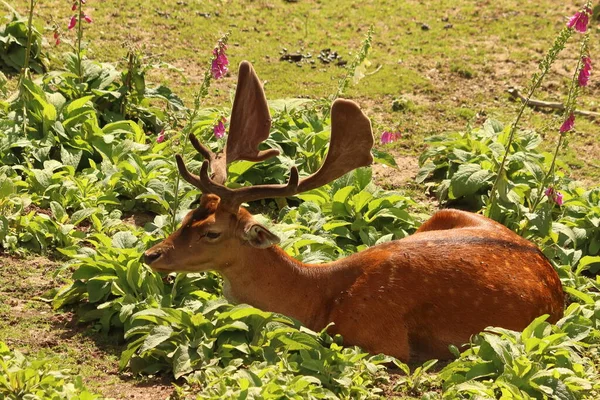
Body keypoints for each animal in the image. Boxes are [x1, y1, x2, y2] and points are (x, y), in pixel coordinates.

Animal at [143, 60, 564, 362]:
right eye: (188, 214)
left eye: (212, 231)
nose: (151, 254)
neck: (319, 299)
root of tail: (555, 281)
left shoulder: (383, 342)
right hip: (445, 214)